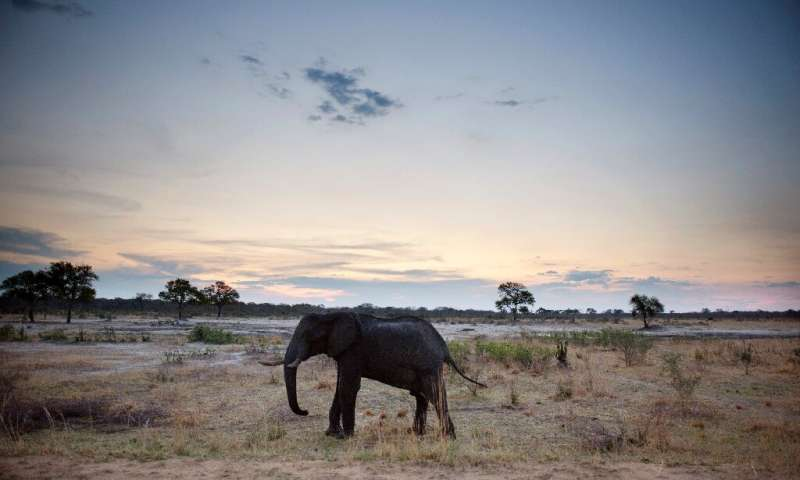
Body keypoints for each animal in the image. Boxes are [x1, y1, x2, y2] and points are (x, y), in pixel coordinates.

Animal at [272, 312, 484, 438]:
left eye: (307, 336)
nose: (306, 411)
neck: (333, 314)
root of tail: (444, 346)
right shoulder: (343, 352)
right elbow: (340, 386)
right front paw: (332, 434)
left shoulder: (353, 350)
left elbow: (348, 387)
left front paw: (346, 437)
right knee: (422, 397)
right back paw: (416, 433)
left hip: (428, 367)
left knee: (435, 395)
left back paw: (448, 437)